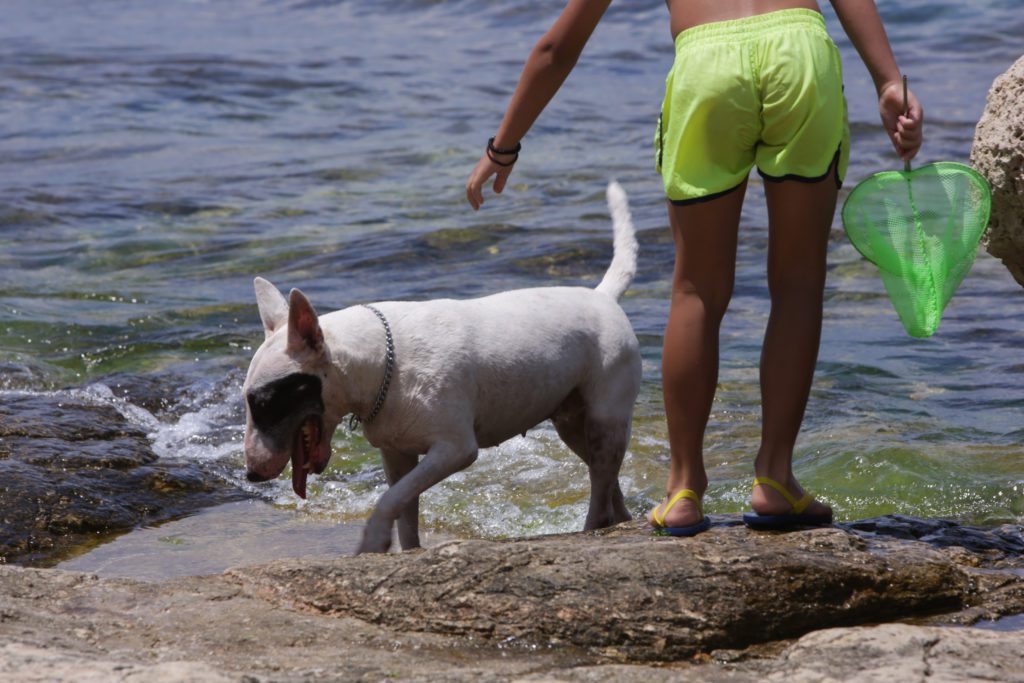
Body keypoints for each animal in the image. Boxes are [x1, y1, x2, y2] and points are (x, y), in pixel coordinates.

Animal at [242, 183, 634, 557]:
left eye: (264, 402)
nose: (252, 474)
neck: (382, 364)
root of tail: (602, 296)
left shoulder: (455, 448)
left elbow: (391, 497)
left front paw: (373, 539)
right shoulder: (397, 454)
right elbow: (404, 506)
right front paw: (405, 549)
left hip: (607, 414)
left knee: (602, 478)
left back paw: (594, 525)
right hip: (571, 421)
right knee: (605, 477)